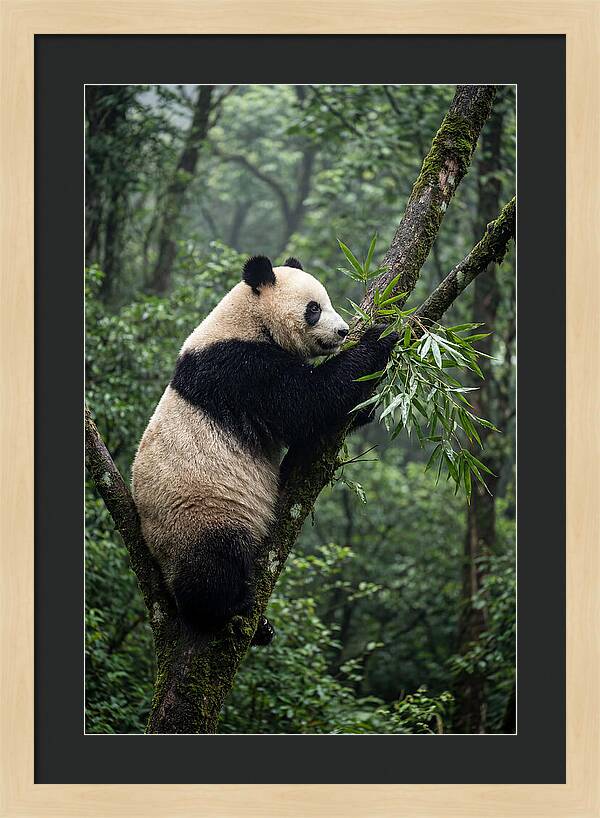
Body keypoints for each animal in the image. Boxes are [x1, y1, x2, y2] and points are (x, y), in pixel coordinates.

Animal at [131, 255, 397, 644]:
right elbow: (305, 402)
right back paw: (227, 610)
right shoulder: (238, 368)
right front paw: (381, 336)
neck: (248, 319)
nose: (343, 332)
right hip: (198, 514)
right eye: (314, 309)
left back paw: (262, 627)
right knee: (213, 565)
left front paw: (365, 407)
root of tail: (156, 556)